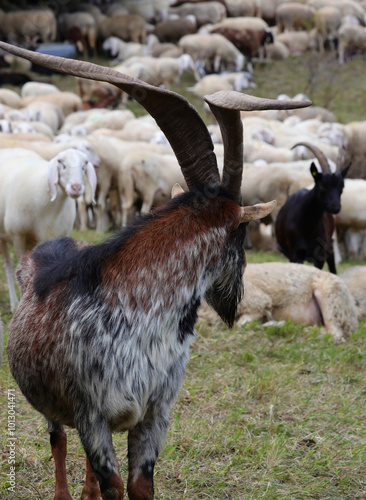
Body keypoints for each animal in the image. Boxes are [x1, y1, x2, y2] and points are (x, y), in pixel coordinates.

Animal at [0, 148, 97, 312]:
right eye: (61, 164)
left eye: (84, 165)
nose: (76, 188)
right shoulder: (18, 236)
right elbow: (20, 270)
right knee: (8, 266)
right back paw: (13, 303)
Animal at [276, 141, 350, 274]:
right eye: (322, 186)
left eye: (341, 187)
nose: (335, 206)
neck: (307, 226)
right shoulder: (295, 255)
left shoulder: (320, 255)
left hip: (329, 244)